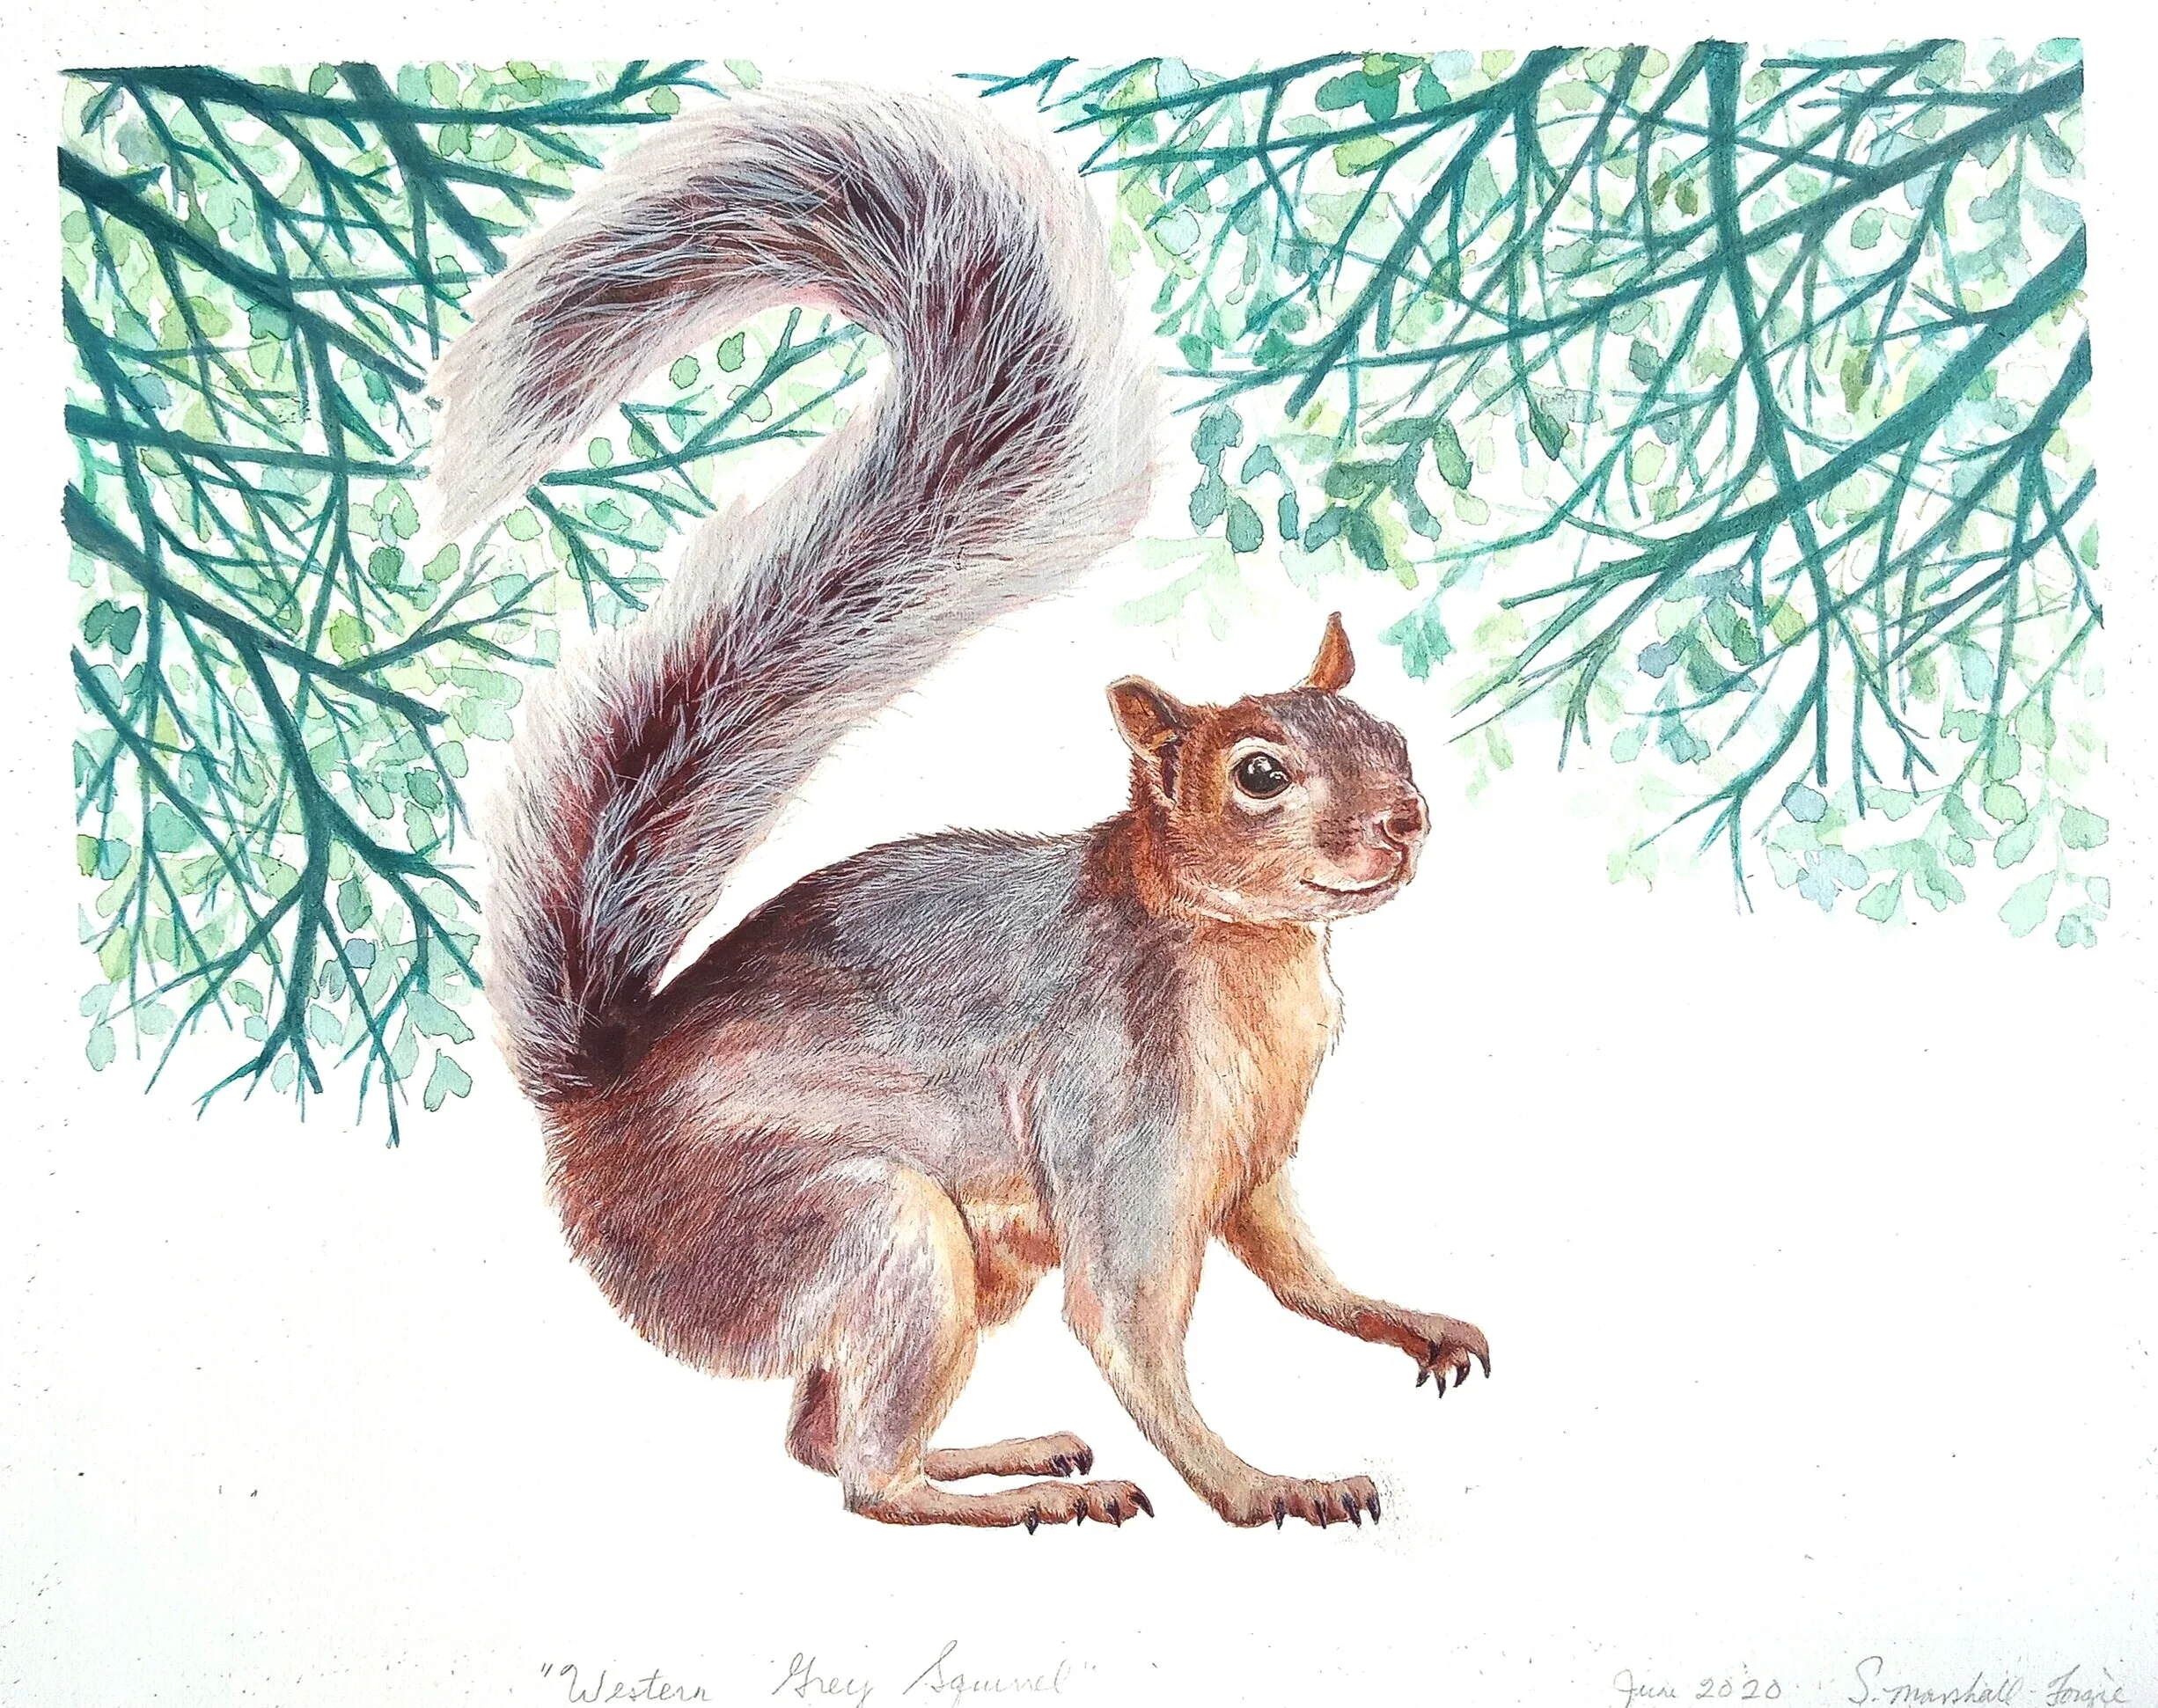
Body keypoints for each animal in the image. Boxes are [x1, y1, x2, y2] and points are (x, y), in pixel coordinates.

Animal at [429, 84, 1489, 1531]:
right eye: (1259, 773)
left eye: (1392, 738)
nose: (1406, 820)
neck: (1251, 955)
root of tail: (596, 1109)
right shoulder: (1122, 1111)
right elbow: (1131, 1324)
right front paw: (1266, 1484)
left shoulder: (1256, 1152)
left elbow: (1298, 1270)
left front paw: (1407, 1319)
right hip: (869, 1231)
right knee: (859, 1477)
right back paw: (1009, 1498)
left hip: (967, 1264)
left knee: (816, 1437)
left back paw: (1004, 1454)